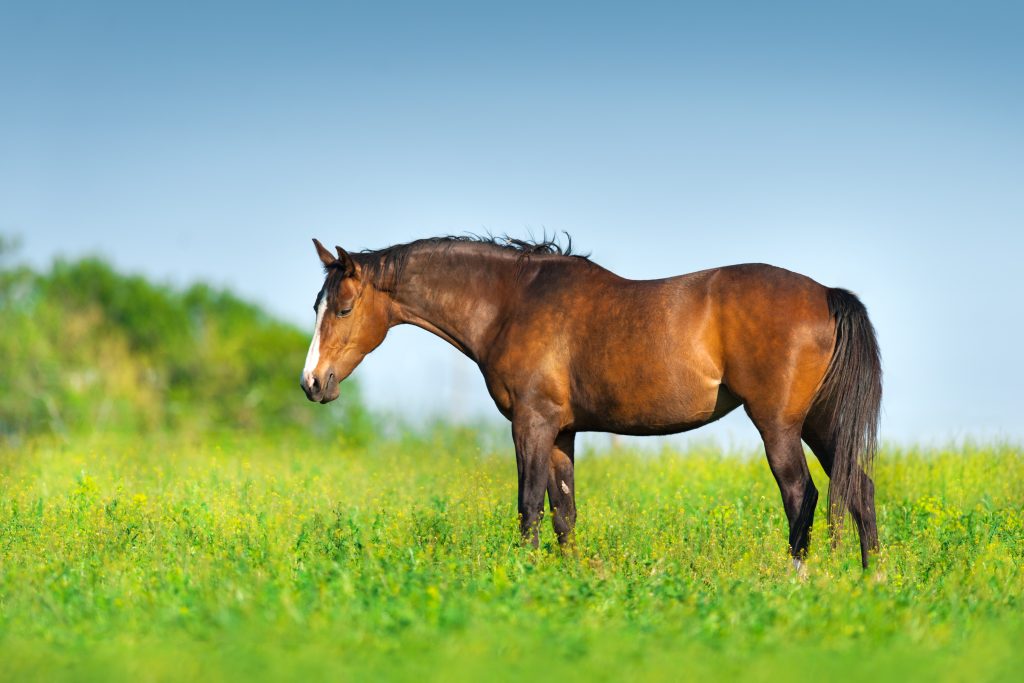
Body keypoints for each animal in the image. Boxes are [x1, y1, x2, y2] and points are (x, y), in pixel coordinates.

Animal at [300, 235, 882, 568]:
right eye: (316, 306)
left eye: (343, 308)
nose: (312, 383)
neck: (512, 302)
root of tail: (826, 294)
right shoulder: (562, 431)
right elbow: (564, 513)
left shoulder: (531, 424)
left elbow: (529, 507)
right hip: (821, 424)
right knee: (860, 488)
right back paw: (870, 580)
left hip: (779, 425)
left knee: (803, 495)